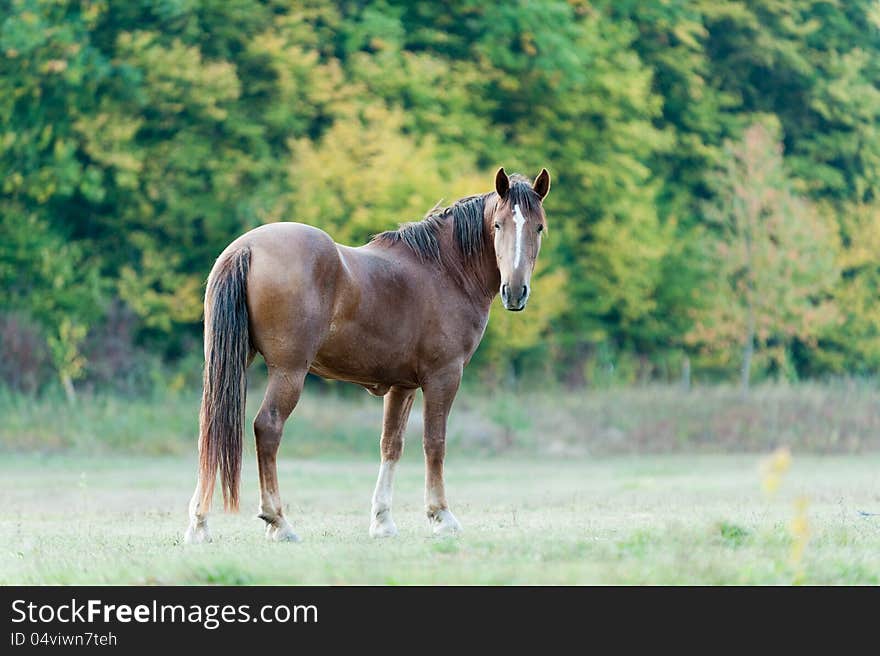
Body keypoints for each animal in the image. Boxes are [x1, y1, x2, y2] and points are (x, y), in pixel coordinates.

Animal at [185, 168, 552, 544]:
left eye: (539, 227)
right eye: (498, 225)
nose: (515, 291)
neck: (445, 270)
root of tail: (246, 248)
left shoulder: (402, 385)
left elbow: (391, 444)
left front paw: (383, 521)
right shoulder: (444, 377)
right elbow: (434, 442)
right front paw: (441, 515)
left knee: (209, 428)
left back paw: (199, 524)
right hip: (289, 372)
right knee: (268, 428)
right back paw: (278, 521)